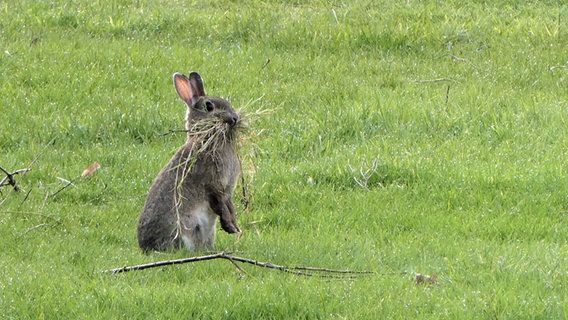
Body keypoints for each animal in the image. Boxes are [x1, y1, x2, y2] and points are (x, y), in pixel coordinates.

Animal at [140, 72, 244, 252]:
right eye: (209, 106)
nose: (234, 118)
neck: (205, 140)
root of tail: (147, 248)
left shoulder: (227, 189)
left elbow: (229, 205)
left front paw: (234, 226)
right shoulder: (213, 184)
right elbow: (220, 205)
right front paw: (230, 226)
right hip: (186, 227)